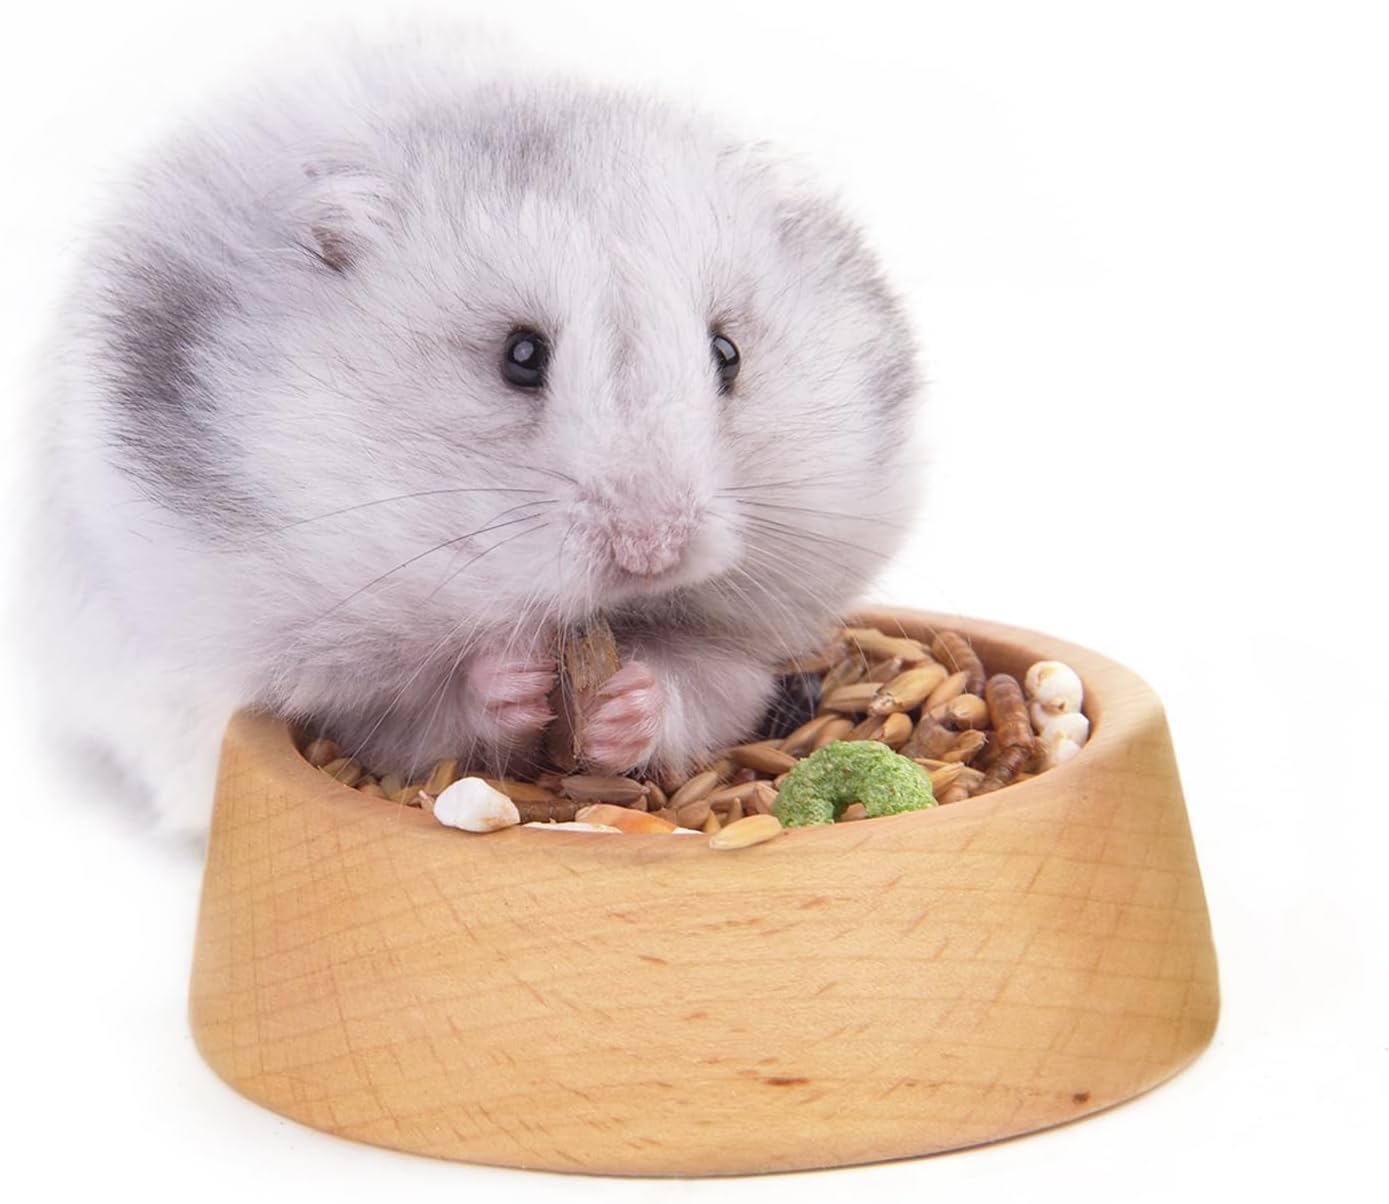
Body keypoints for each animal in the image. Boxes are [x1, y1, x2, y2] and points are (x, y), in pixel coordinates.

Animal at [28, 27, 924, 839]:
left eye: (726, 352)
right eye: (519, 357)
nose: (652, 551)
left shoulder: (744, 647)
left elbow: (701, 687)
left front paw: (621, 705)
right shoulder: (331, 667)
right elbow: (425, 708)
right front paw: (515, 680)